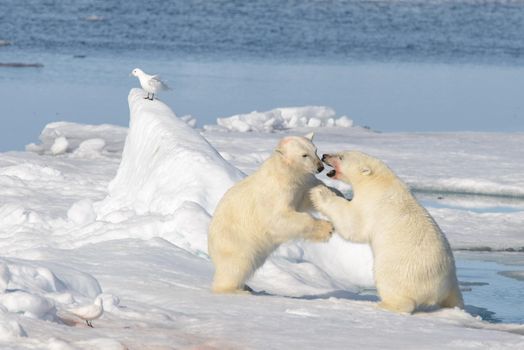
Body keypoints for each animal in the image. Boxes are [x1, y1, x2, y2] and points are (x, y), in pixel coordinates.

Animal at [208, 133, 334, 292]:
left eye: (315, 150)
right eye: (304, 155)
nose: (320, 167)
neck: (283, 172)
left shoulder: (297, 187)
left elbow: (305, 199)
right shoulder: (275, 195)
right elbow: (279, 219)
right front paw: (327, 228)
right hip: (235, 242)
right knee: (236, 266)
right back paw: (236, 290)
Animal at [312, 152, 462, 314]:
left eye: (341, 157)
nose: (324, 155)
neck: (380, 181)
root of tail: (439, 287)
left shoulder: (370, 203)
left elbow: (353, 224)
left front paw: (319, 192)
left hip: (400, 270)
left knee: (393, 287)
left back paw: (384, 304)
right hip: (452, 282)